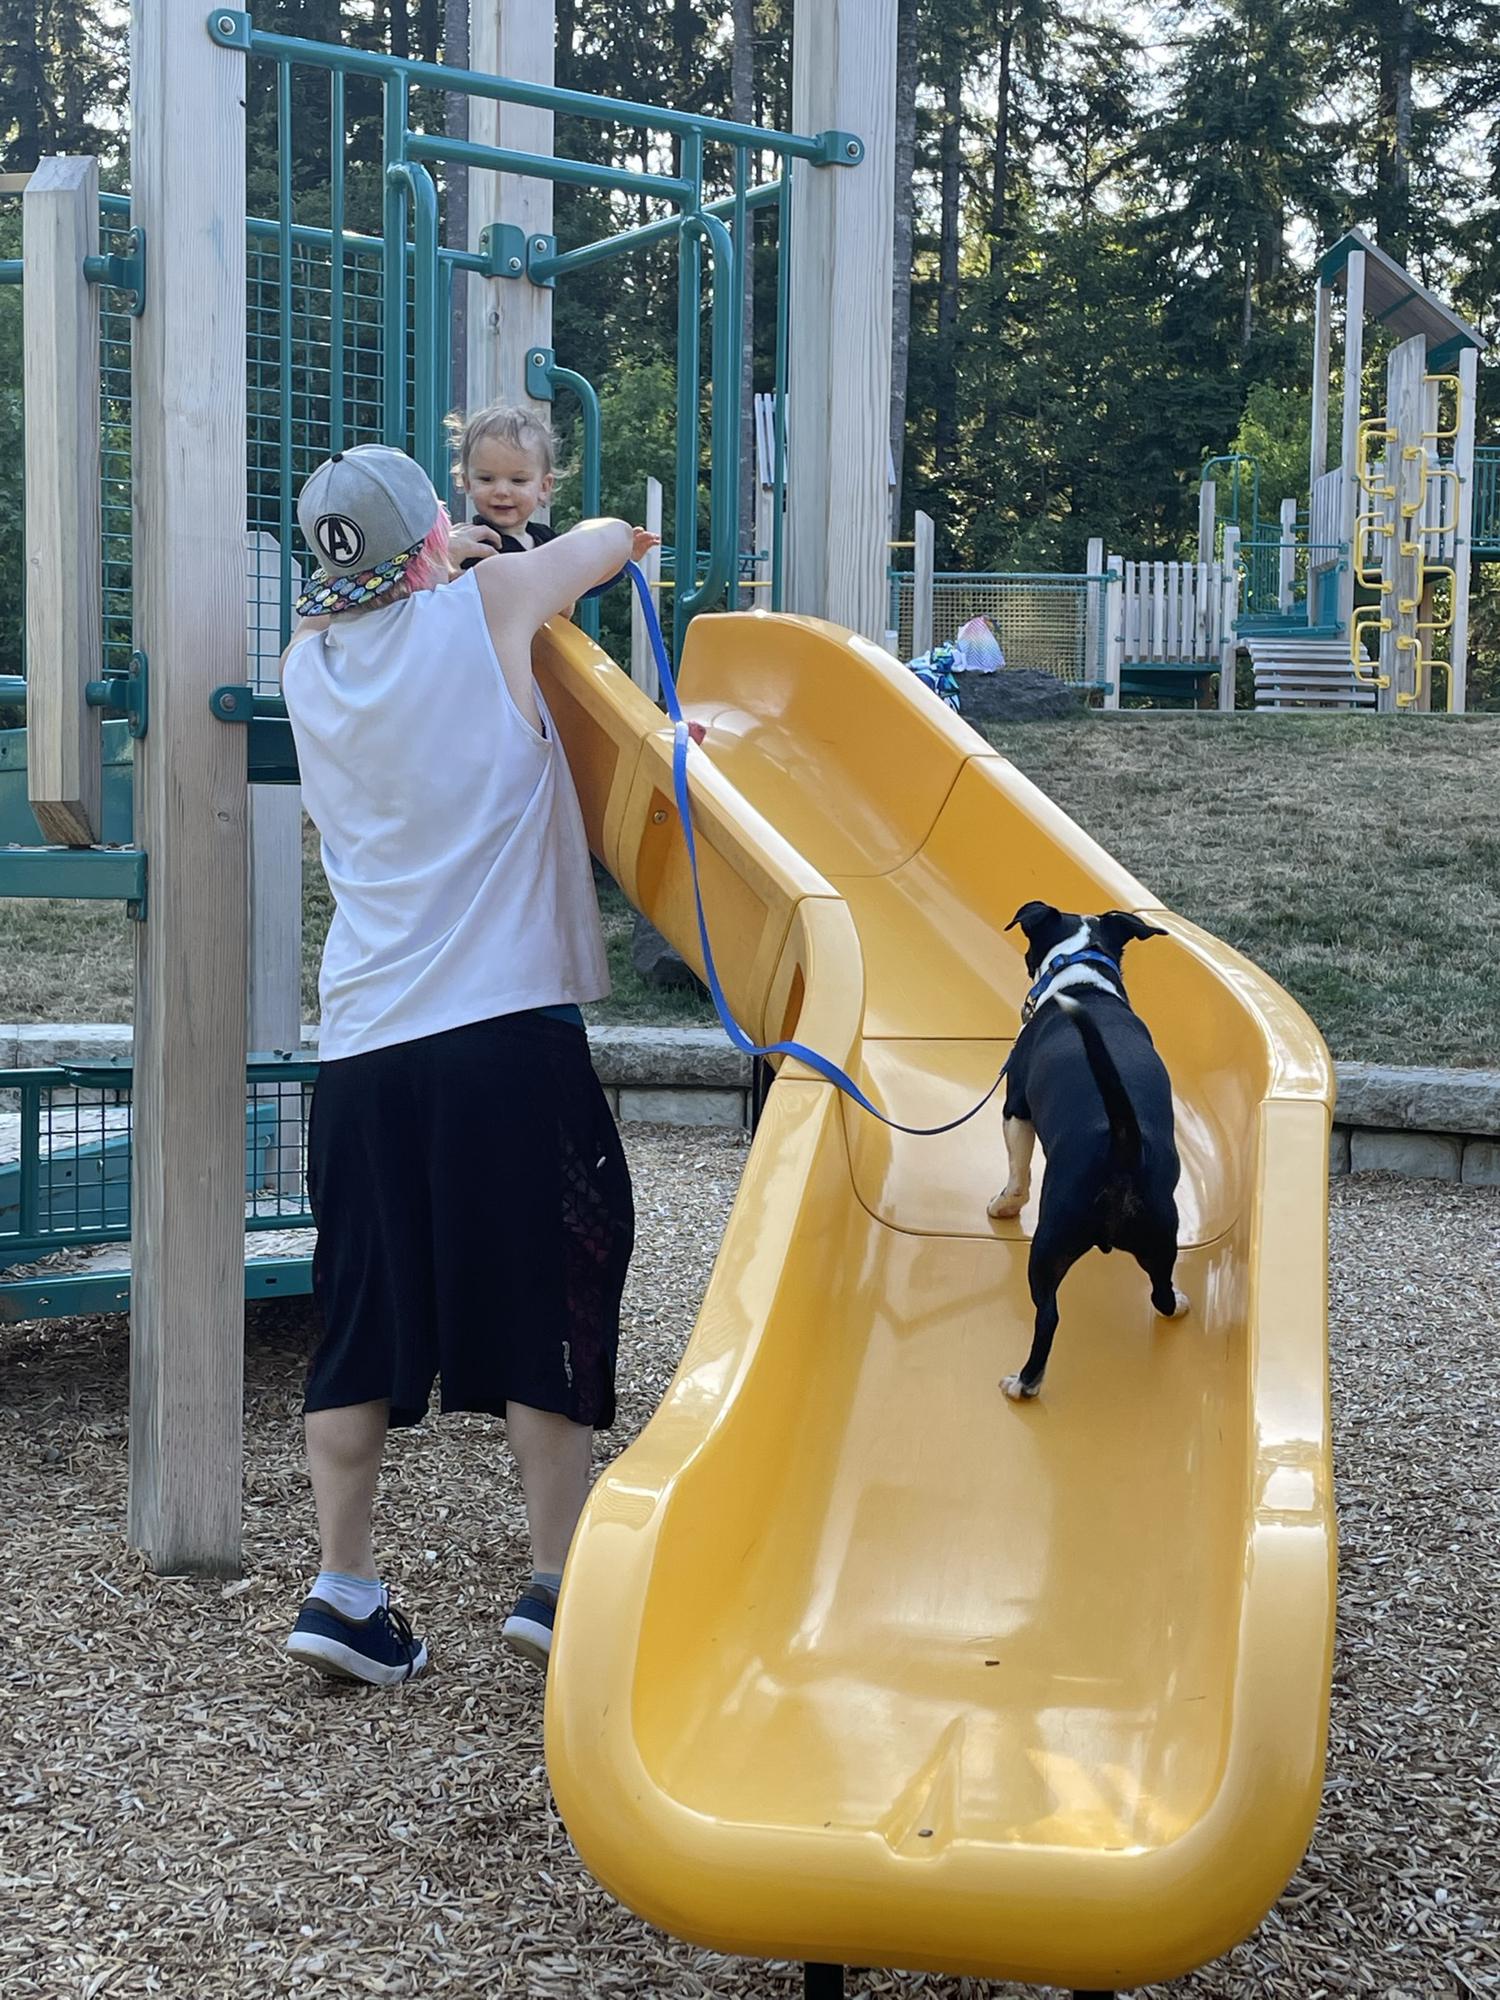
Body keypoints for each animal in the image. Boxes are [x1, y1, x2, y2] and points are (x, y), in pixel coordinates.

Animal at [992, 900, 1192, 1400]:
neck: (1081, 977)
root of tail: (1123, 1145)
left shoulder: (1015, 1104)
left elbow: (1018, 1172)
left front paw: (1003, 1205)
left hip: (1050, 1244)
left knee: (1048, 1317)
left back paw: (1024, 1383)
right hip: (1162, 1236)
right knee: (1160, 1294)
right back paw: (1180, 1303)